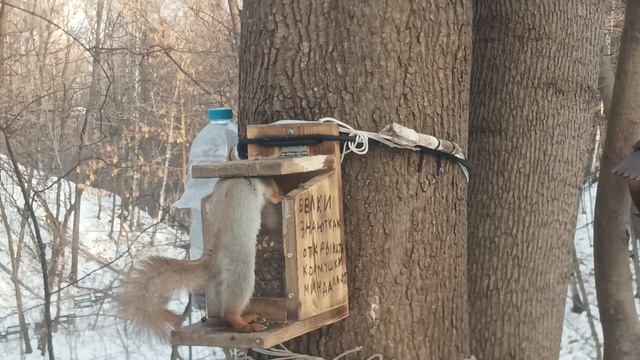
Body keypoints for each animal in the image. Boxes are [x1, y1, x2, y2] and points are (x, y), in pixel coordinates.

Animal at [118, 178, 282, 340]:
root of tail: (213, 261)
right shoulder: (264, 184)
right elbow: (271, 193)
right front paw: (281, 196)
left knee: (222, 313)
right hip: (241, 272)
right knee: (230, 311)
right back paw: (245, 324)